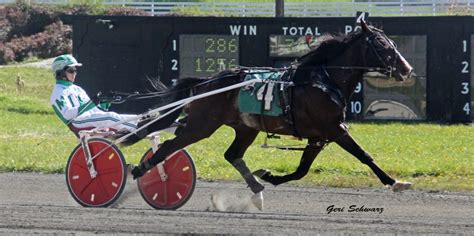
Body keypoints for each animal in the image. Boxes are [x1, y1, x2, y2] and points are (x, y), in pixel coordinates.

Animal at [131, 19, 412, 205]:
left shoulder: (318, 135)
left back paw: (256, 187)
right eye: (381, 43)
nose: (407, 68)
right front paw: (394, 182)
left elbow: (302, 170)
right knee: (169, 146)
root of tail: (207, 81)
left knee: (232, 154)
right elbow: (363, 155)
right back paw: (140, 171)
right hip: (201, 125)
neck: (323, 79)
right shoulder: (334, 129)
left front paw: (268, 175)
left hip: (245, 127)